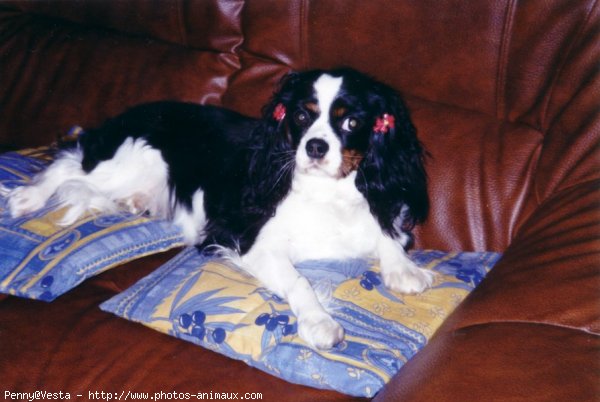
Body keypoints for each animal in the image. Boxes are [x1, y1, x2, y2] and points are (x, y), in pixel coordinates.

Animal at [5, 68, 436, 348]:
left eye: (351, 123)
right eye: (301, 116)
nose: (315, 147)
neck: (326, 192)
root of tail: (121, 118)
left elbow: (385, 235)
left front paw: (404, 270)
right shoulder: (249, 241)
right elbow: (299, 281)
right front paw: (320, 324)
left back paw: (135, 203)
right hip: (132, 159)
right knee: (67, 166)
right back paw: (28, 198)